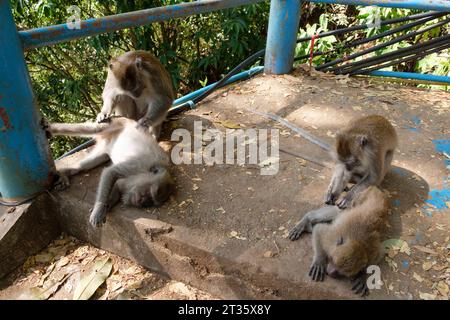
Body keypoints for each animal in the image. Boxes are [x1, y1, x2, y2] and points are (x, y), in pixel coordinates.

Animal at [45, 117, 175, 228]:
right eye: (148, 194)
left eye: (150, 202)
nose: (142, 202)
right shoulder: (140, 163)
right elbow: (110, 172)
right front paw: (98, 210)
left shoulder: (130, 182)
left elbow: (116, 184)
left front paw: (106, 205)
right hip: (115, 124)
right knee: (93, 129)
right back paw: (52, 129)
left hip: (106, 144)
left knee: (91, 162)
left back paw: (66, 172)